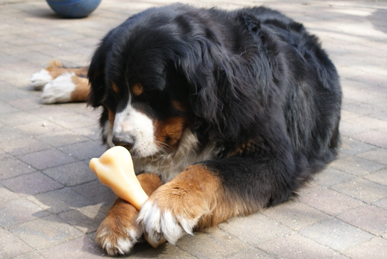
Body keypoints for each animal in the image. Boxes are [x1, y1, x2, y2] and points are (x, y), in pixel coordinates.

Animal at [32, 3, 342, 256]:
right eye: (114, 93)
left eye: (152, 94)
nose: (120, 141)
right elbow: (139, 177)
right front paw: (118, 220)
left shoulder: (273, 158)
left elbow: (208, 169)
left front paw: (166, 207)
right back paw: (56, 79)